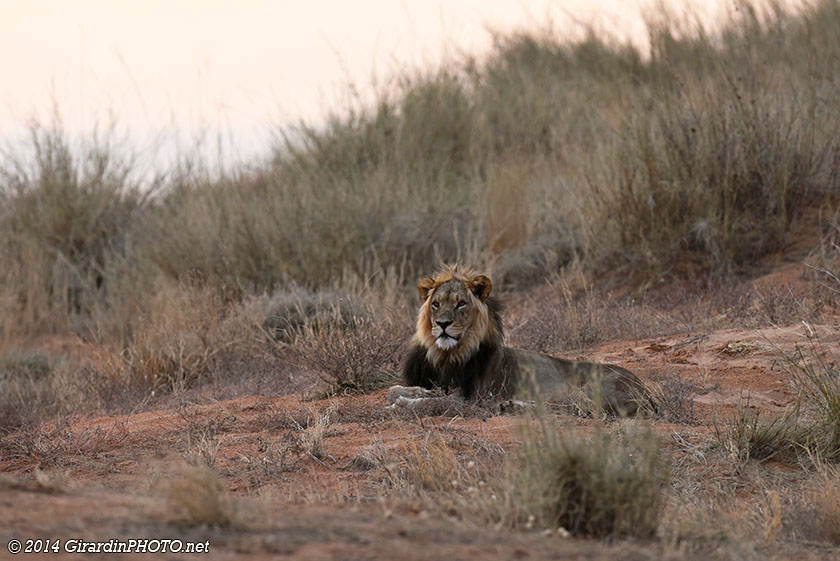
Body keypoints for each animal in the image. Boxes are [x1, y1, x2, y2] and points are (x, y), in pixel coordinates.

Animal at [388, 265, 653, 416]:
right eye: (435, 304)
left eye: (461, 303)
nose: (443, 324)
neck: (447, 355)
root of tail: (646, 390)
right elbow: (400, 390)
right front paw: (407, 393)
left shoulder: (470, 398)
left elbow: (423, 402)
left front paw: (402, 404)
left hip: (587, 388)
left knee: (579, 408)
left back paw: (514, 407)